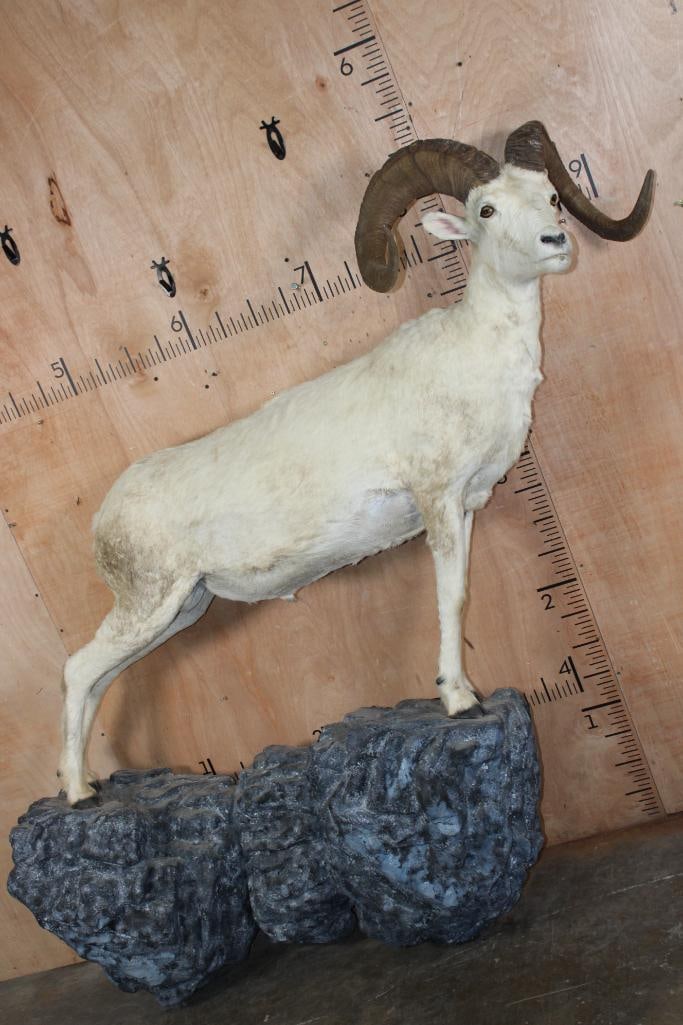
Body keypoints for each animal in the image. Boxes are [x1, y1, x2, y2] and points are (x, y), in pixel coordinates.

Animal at [58, 121, 654, 806]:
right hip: (151, 605)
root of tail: (103, 520)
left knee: (100, 679)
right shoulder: (437, 501)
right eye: (487, 210)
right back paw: (76, 794)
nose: (555, 242)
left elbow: (460, 591)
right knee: (77, 671)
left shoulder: (467, 508)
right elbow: (452, 598)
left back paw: (91, 785)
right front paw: (459, 700)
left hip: (179, 611)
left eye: (551, 198)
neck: (477, 357)